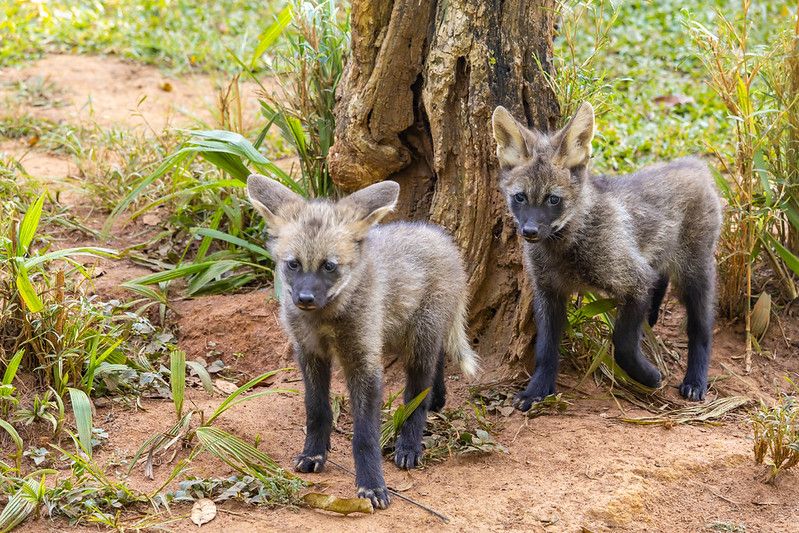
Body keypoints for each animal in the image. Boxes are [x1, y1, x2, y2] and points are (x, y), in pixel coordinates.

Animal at [247, 174, 478, 509]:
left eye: (329, 266)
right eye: (293, 264)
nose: (304, 299)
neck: (326, 320)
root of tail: (442, 238)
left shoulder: (363, 360)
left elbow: (365, 436)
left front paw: (371, 484)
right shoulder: (310, 353)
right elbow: (316, 410)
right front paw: (313, 453)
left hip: (418, 337)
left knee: (418, 390)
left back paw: (410, 443)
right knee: (435, 362)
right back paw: (438, 399)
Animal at [491, 102, 722, 411]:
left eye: (553, 199)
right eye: (520, 197)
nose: (529, 231)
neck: (566, 248)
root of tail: (695, 164)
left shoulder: (633, 279)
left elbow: (622, 343)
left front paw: (647, 375)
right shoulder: (548, 293)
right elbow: (545, 349)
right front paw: (538, 390)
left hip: (695, 273)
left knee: (701, 328)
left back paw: (695, 380)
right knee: (660, 279)